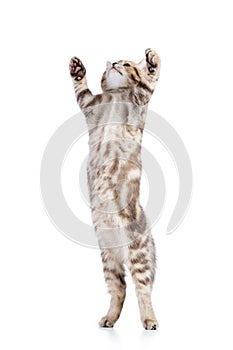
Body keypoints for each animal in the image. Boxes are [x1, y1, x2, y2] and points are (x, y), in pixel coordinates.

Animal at [69, 47, 160, 330]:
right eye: (115, 63)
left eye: (128, 64)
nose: (116, 64)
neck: (117, 95)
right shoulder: (90, 105)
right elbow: (81, 88)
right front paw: (77, 69)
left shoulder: (140, 101)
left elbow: (147, 83)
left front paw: (153, 61)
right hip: (108, 259)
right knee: (120, 289)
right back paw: (109, 318)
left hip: (138, 255)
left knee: (143, 290)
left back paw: (150, 320)